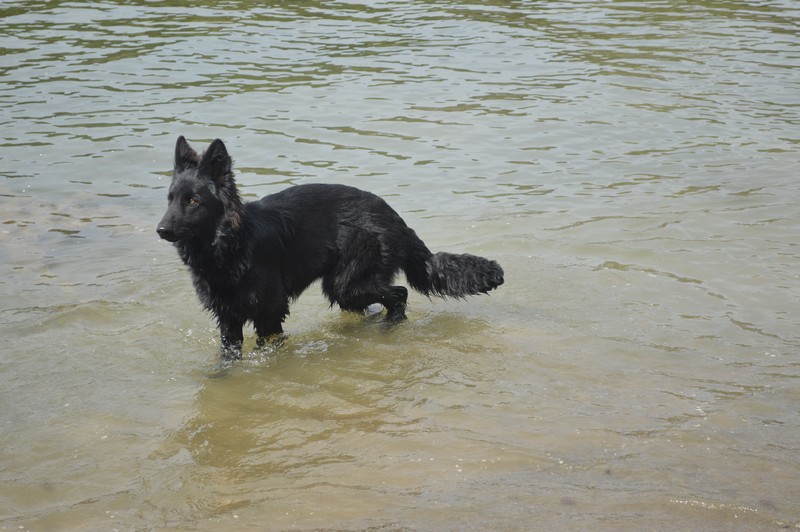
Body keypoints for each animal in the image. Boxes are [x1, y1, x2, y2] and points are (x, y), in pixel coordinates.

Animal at [157, 137, 504, 358]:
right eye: (170, 199)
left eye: (193, 200)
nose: (161, 230)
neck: (231, 245)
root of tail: (397, 219)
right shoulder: (228, 318)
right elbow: (228, 358)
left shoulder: (270, 311)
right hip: (347, 290)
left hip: (346, 284)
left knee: (400, 295)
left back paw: (389, 327)